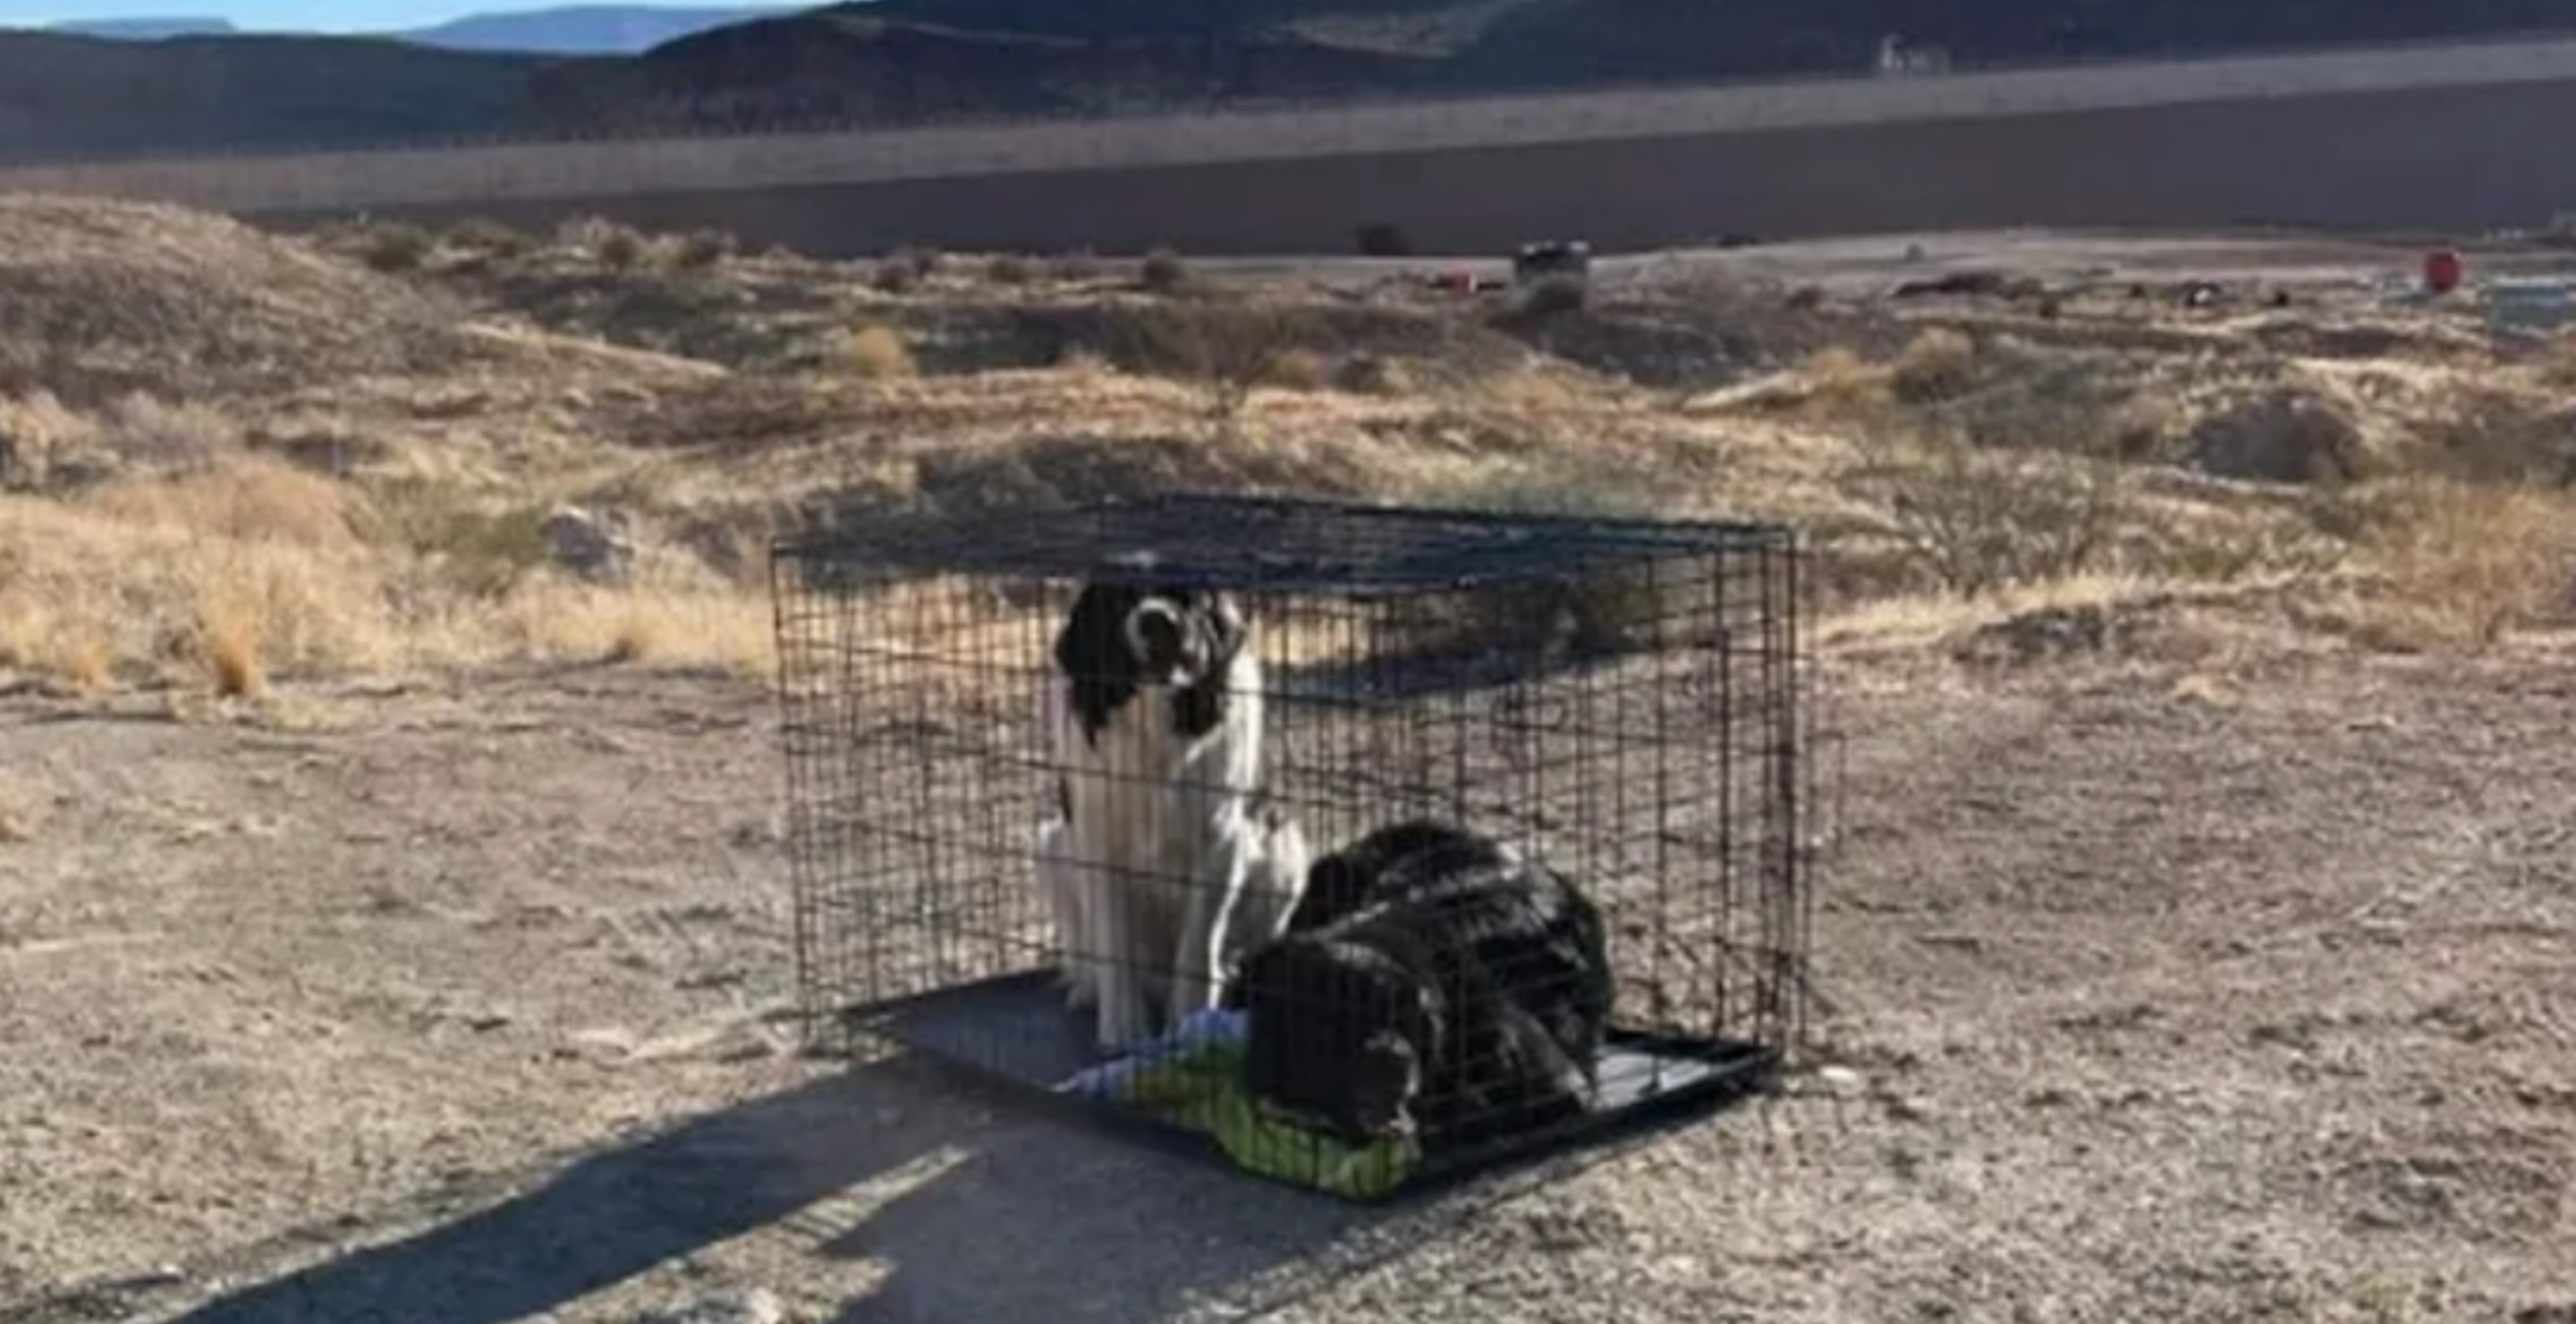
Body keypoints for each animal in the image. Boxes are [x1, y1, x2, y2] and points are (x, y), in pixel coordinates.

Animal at [1030, 556, 1309, 1050]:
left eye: (1184, 597)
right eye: (1121, 597)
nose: (1157, 620)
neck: (1153, 726)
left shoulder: (1222, 838)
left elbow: (1199, 940)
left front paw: (1190, 1020)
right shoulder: (1096, 840)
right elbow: (1113, 939)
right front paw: (1123, 1027)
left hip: (1284, 849)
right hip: (1052, 845)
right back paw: (1088, 989)